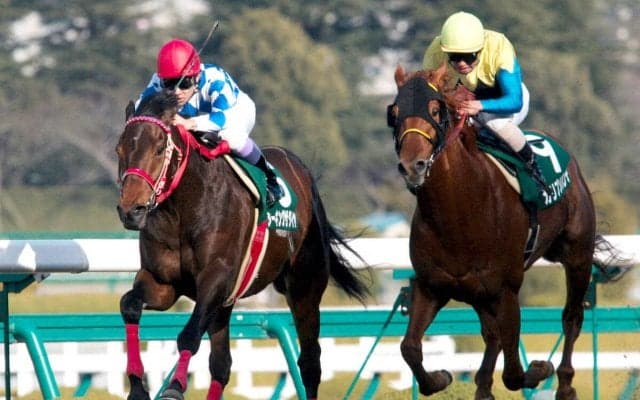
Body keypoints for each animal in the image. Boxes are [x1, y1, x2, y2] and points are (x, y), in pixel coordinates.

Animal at [115, 90, 369, 400]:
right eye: (119, 149)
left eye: (159, 148)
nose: (132, 210)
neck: (181, 212)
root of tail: (303, 171)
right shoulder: (163, 283)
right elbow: (129, 305)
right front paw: (138, 387)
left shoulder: (216, 279)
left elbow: (188, 335)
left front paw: (174, 388)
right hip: (225, 305)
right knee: (222, 366)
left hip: (304, 289)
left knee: (310, 363)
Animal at [388, 64, 610, 400]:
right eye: (395, 112)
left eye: (435, 110)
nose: (412, 166)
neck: (457, 214)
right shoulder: (431, 286)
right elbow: (410, 348)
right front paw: (441, 377)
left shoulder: (506, 289)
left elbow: (515, 373)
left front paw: (540, 369)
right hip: (479, 291)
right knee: (490, 334)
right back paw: (482, 386)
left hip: (578, 256)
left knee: (571, 318)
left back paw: (565, 385)